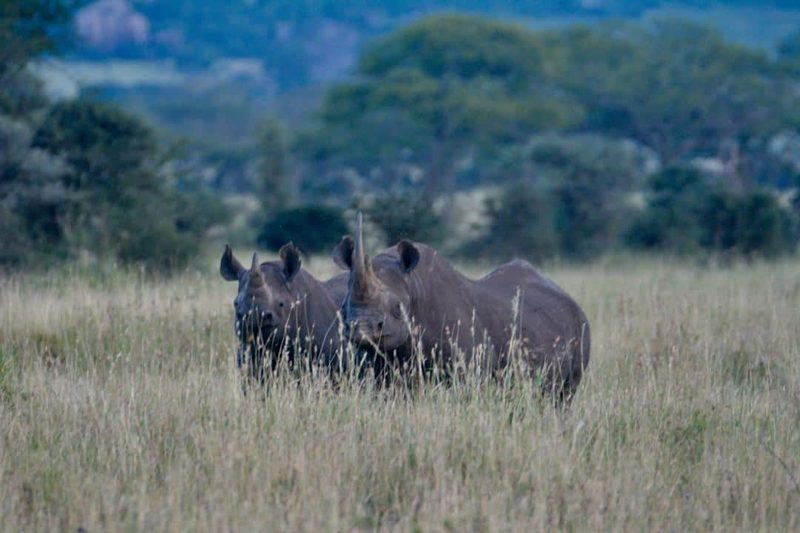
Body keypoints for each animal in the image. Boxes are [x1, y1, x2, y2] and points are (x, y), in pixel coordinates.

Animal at [332, 214, 590, 401]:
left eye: (398, 308)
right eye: (343, 307)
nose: (362, 329)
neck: (413, 286)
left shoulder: (468, 371)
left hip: (581, 326)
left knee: (565, 396)